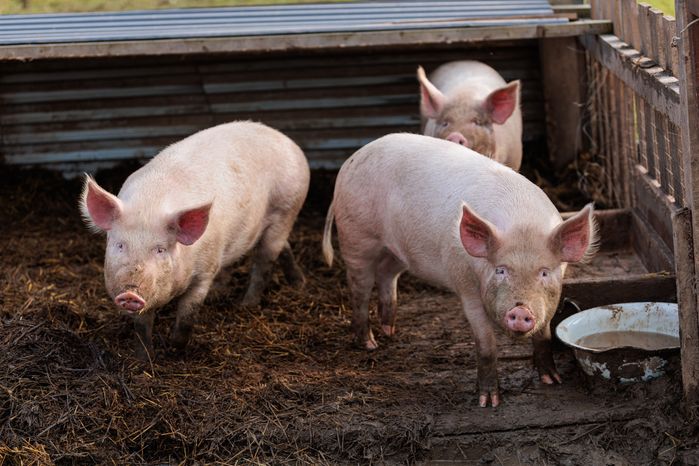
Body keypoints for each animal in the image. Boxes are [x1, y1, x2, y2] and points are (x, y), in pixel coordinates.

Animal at [80, 121, 310, 360]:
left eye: (160, 249)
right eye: (120, 245)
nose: (130, 292)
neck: (151, 206)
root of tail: (286, 140)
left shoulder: (205, 272)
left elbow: (188, 315)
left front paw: (175, 350)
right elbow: (142, 326)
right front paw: (144, 360)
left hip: (286, 209)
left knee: (265, 260)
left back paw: (246, 305)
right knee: (283, 248)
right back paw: (296, 283)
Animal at [322, 133, 596, 407]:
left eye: (544, 272)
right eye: (500, 270)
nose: (520, 310)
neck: (522, 223)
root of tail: (350, 161)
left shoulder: (549, 299)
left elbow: (544, 335)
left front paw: (553, 381)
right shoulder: (466, 288)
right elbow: (486, 344)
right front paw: (488, 402)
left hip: (398, 250)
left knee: (387, 274)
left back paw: (390, 331)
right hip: (357, 238)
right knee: (359, 288)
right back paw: (369, 344)